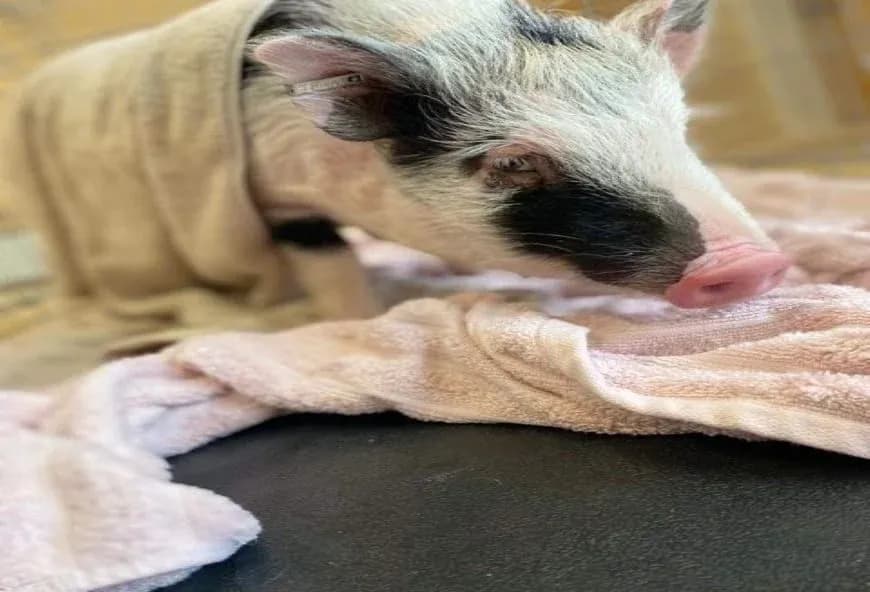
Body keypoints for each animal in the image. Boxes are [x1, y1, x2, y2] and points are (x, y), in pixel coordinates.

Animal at [241, 0, 791, 319]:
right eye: (514, 165)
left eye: (678, 130)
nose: (751, 262)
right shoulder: (282, 193)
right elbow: (333, 267)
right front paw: (362, 324)